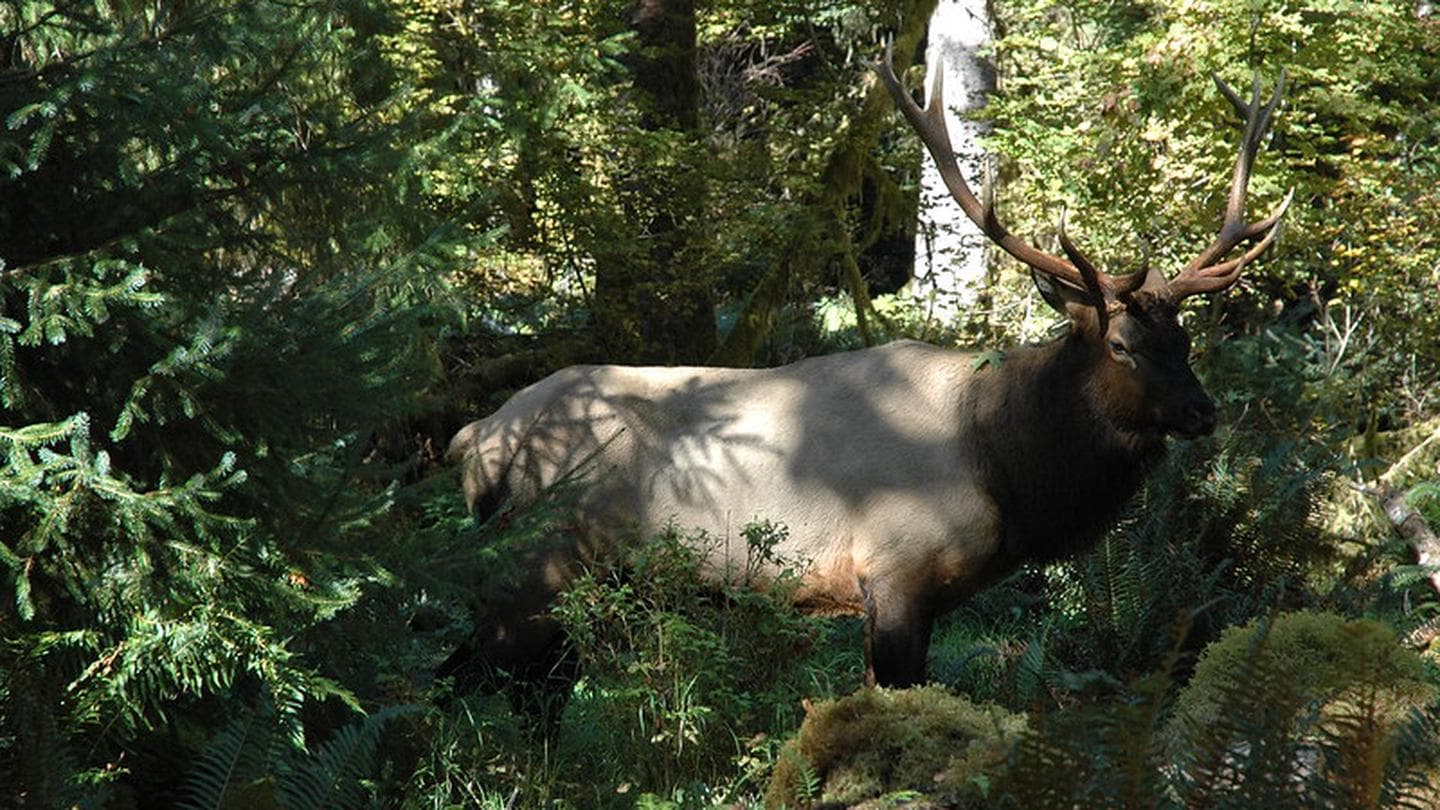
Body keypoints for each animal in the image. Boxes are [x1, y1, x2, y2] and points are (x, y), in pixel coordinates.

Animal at [442, 46, 1290, 692]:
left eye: (1185, 341)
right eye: (1120, 345)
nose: (1202, 411)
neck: (1006, 468)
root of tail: (474, 436)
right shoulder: (895, 572)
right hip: (536, 564)